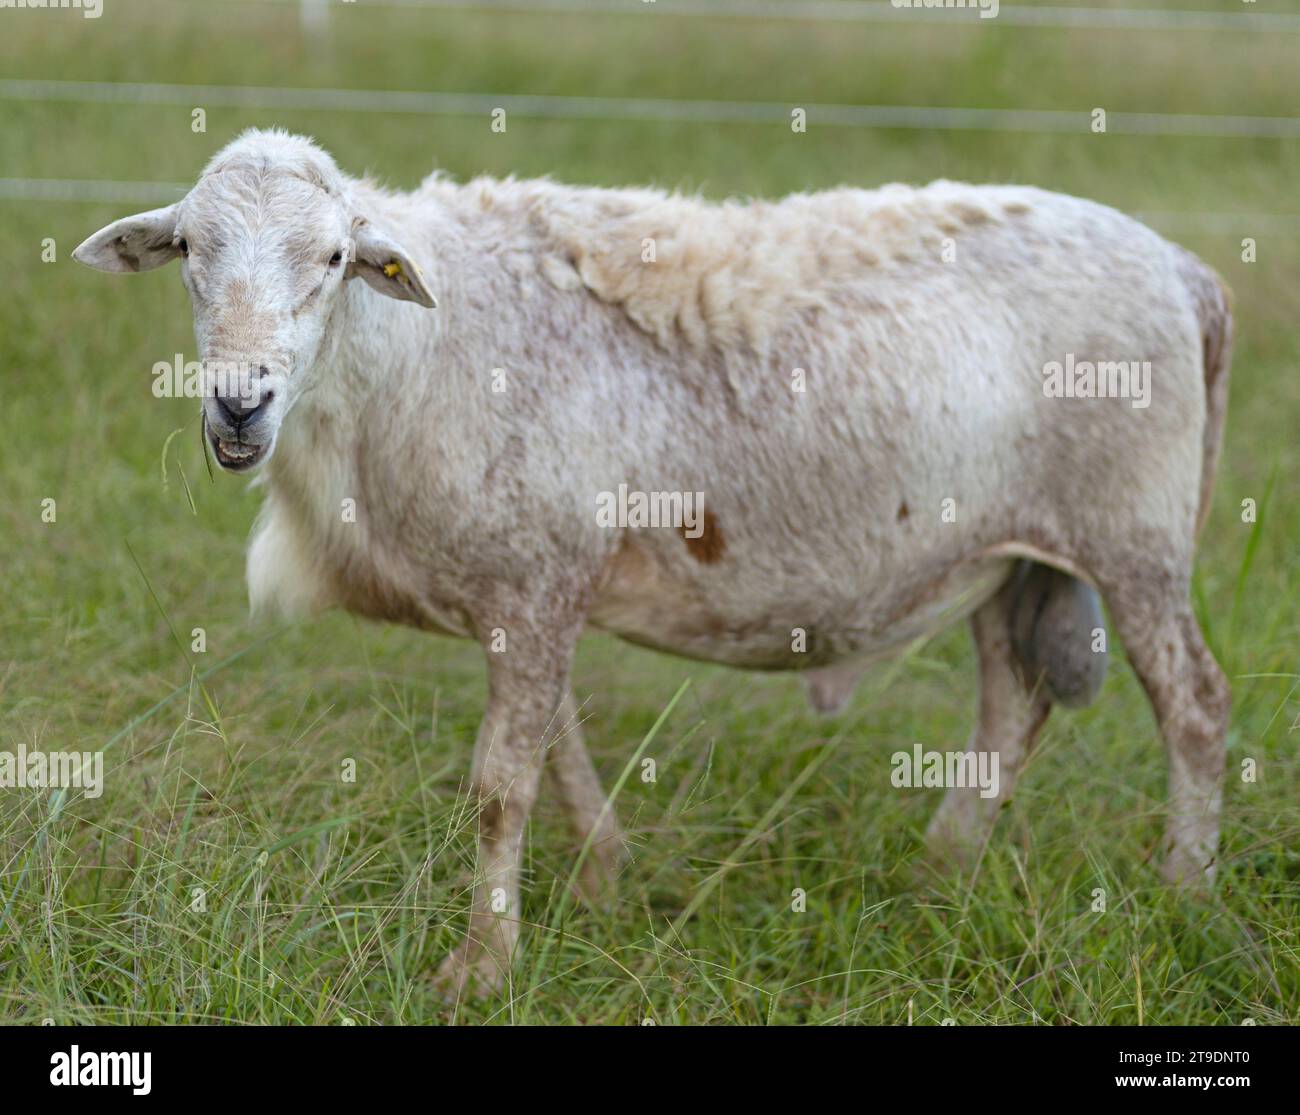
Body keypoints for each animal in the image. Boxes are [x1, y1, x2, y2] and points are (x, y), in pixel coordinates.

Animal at [76, 126, 1232, 992]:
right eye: (188, 252)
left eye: (330, 260)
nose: (238, 404)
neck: (414, 354)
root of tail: (1185, 271)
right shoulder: (535, 586)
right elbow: (558, 745)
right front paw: (603, 882)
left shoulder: (536, 580)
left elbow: (502, 783)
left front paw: (478, 968)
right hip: (1007, 551)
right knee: (1010, 707)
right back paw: (939, 874)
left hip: (1135, 534)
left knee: (1194, 705)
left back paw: (1184, 891)